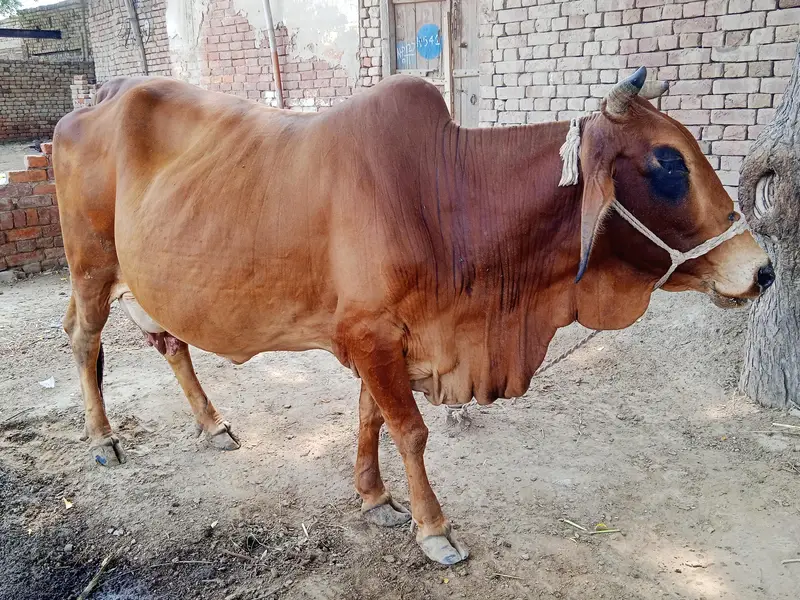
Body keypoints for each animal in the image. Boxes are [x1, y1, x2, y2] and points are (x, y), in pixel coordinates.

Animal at [53, 67, 774, 565]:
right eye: (667, 162)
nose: (763, 270)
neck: (445, 195)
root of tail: (90, 103)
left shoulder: (382, 339)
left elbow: (371, 419)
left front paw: (374, 499)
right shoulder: (371, 335)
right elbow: (410, 430)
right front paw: (435, 529)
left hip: (144, 283)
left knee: (170, 342)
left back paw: (212, 424)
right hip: (90, 268)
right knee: (84, 342)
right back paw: (101, 440)